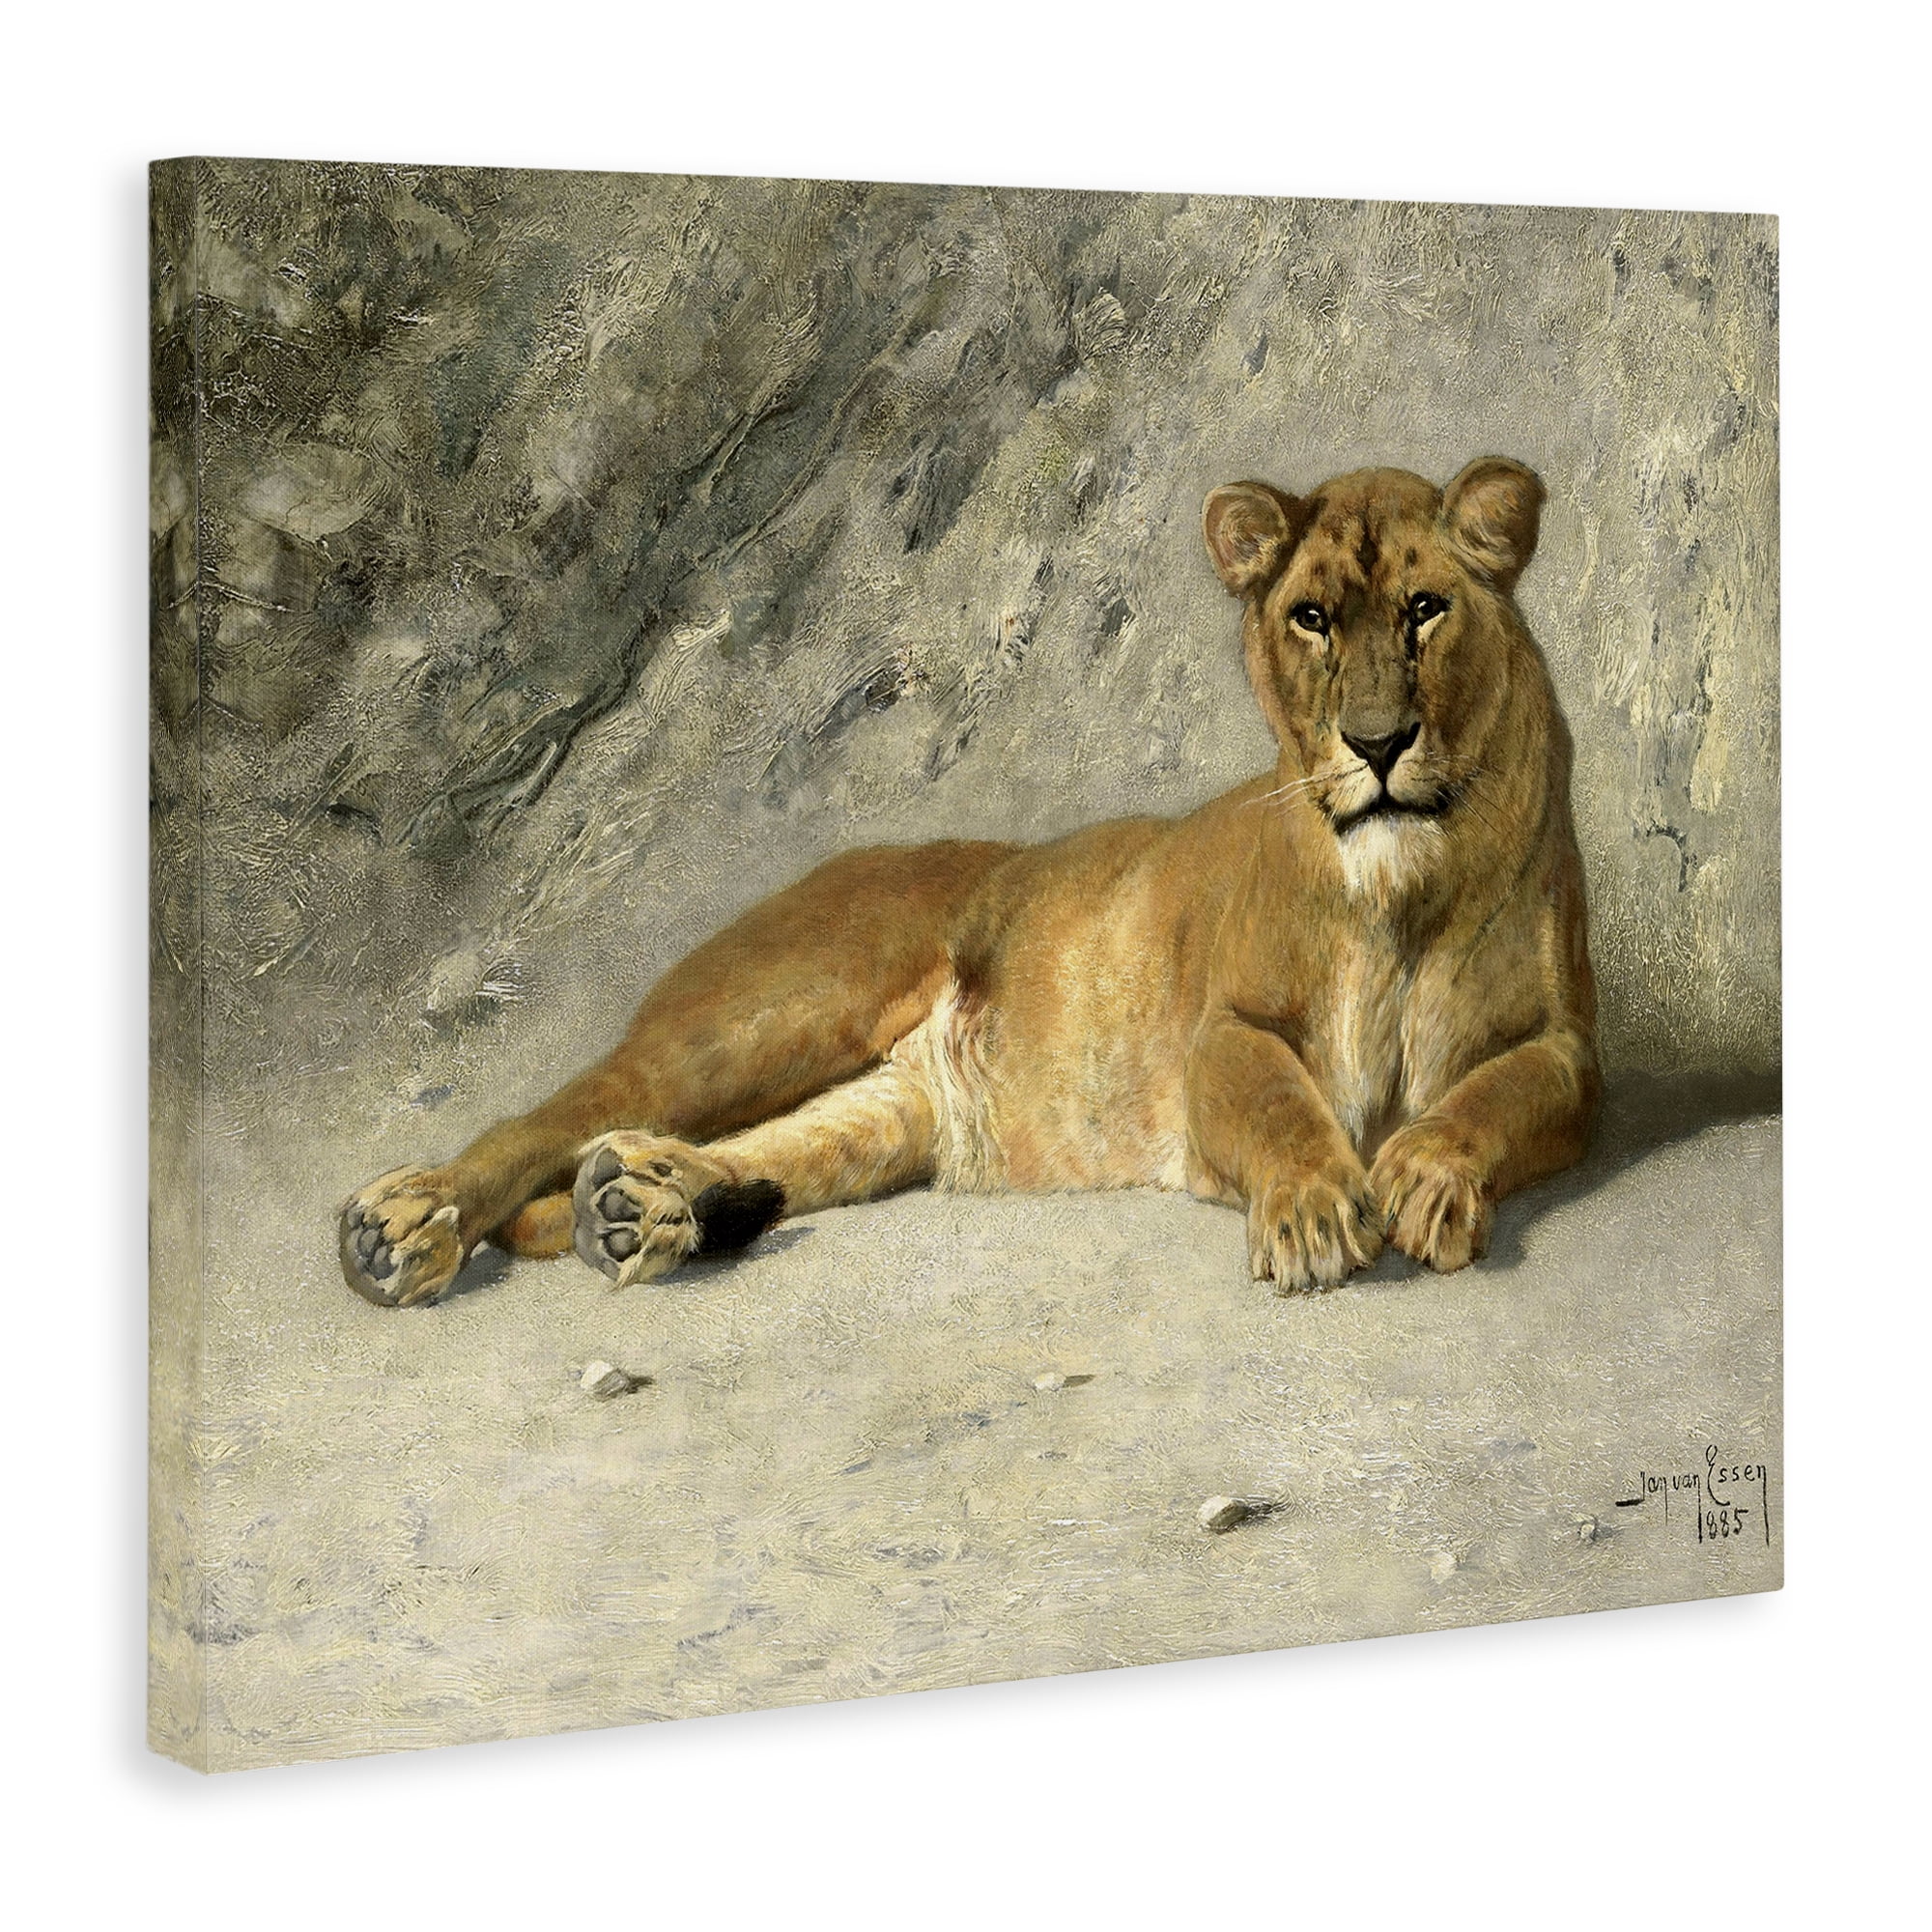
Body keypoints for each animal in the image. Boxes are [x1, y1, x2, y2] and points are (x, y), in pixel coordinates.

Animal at [339, 457, 1600, 1309]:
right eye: (1311, 618)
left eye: (1425, 609)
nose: (1377, 742)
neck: (1398, 891)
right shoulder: (1221, 1030)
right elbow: (1277, 1100)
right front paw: (1308, 1209)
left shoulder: (1565, 1047)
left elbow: (1491, 1096)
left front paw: (1424, 1175)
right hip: (765, 1015)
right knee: (555, 1114)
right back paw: (404, 1227)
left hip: (889, 1110)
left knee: (758, 1150)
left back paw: (638, 1206)